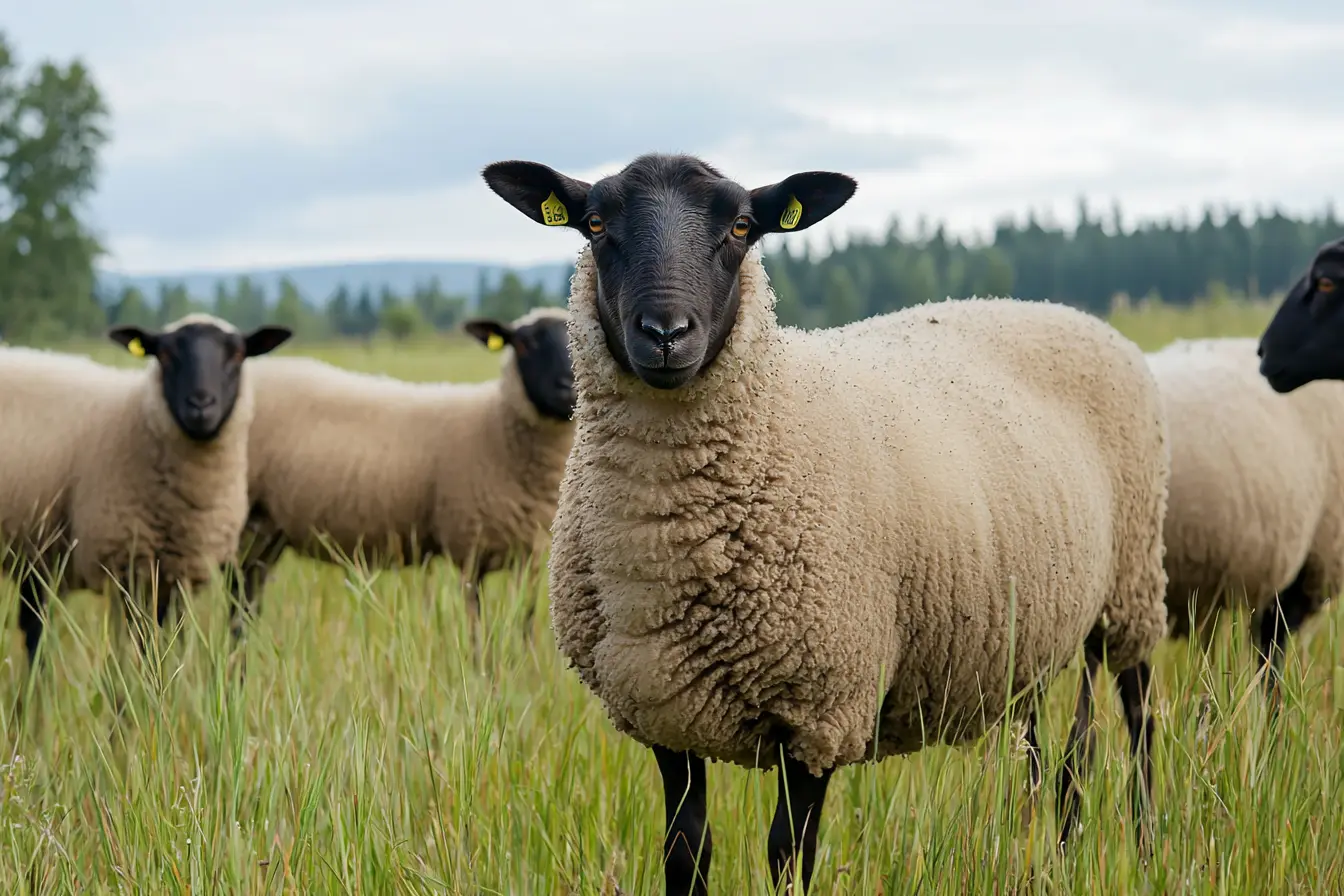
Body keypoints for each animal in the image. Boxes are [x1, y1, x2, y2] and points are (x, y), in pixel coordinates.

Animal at [0, 315, 292, 687]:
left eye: (238, 355)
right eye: (164, 355)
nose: (201, 405)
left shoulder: (176, 575)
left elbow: (167, 644)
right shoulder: (128, 569)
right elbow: (132, 649)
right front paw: (130, 699)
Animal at [224, 311, 577, 655]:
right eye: (525, 344)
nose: (568, 387)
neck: (495, 426)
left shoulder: (530, 555)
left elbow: (524, 624)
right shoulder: (469, 548)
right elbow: (476, 630)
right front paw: (482, 670)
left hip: (267, 533)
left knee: (247, 599)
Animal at [481, 150, 1166, 891]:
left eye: (742, 226)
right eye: (596, 223)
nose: (665, 335)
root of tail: (1065, 313)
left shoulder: (819, 710)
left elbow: (788, 855)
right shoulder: (663, 709)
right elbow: (686, 850)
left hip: (1131, 588)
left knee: (1136, 724)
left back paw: (1145, 842)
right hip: (1027, 622)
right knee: (1046, 758)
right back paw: (1045, 855)